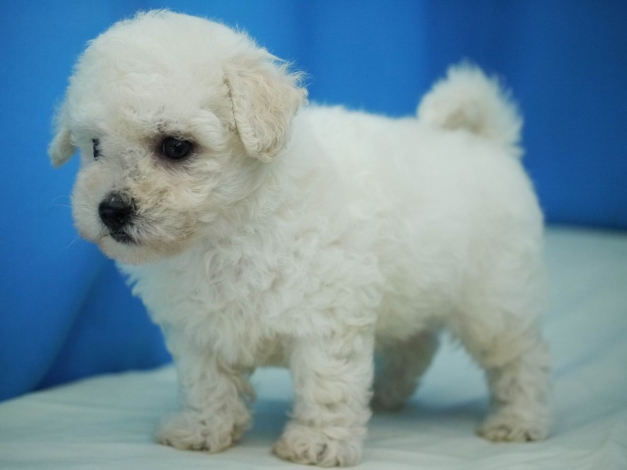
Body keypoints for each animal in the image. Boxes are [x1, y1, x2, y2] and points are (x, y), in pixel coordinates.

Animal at [49, 10, 550, 467]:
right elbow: (204, 380)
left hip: (494, 299)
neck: (227, 231)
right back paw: (386, 395)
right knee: (416, 343)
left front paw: (318, 443)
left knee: (522, 358)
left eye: (176, 146)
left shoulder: (327, 313)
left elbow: (326, 383)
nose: (110, 210)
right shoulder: (196, 326)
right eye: (94, 147)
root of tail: (488, 144)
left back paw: (518, 420)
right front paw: (202, 429)